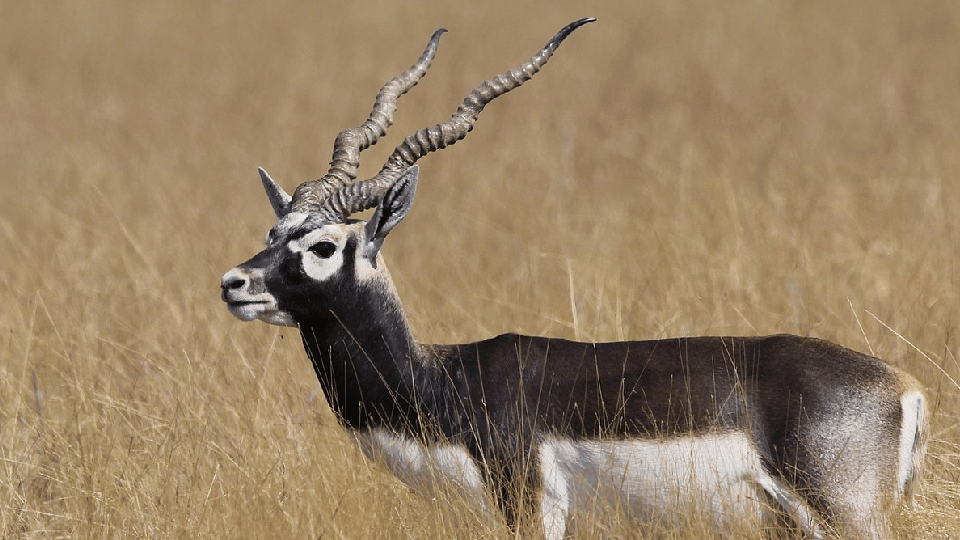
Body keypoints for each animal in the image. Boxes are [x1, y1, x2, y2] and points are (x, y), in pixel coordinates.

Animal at [220, 19, 927, 540]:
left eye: (322, 246)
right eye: (272, 234)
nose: (234, 283)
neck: (441, 382)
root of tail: (904, 388)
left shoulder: (530, 507)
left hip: (844, 518)